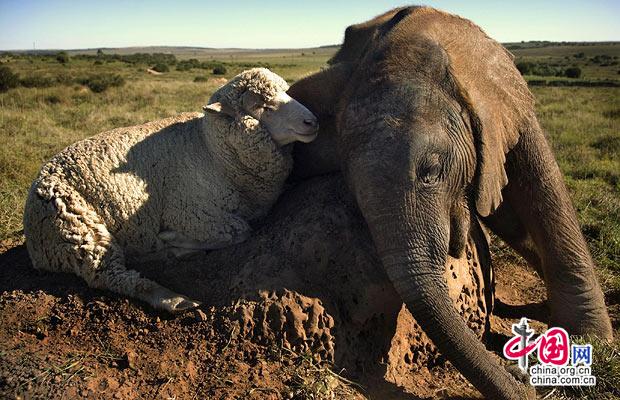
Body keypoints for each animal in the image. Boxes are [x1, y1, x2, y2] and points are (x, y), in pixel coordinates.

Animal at [23, 68, 320, 312]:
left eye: (286, 92)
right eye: (262, 106)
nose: (313, 122)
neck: (212, 151)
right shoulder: (190, 213)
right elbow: (240, 230)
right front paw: (173, 240)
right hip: (75, 227)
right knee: (109, 275)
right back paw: (174, 296)